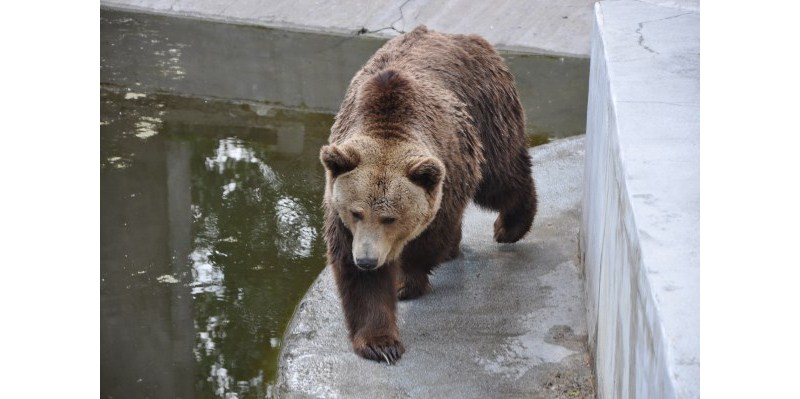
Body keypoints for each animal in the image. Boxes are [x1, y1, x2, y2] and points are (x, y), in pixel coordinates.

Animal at [318, 25, 536, 366]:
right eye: (356, 212)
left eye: (390, 218)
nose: (367, 259)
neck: (388, 124)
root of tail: (463, 36)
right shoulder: (340, 210)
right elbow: (358, 279)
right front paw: (380, 343)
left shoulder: (445, 181)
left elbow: (428, 240)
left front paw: (404, 281)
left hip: (487, 115)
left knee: (501, 178)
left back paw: (509, 227)